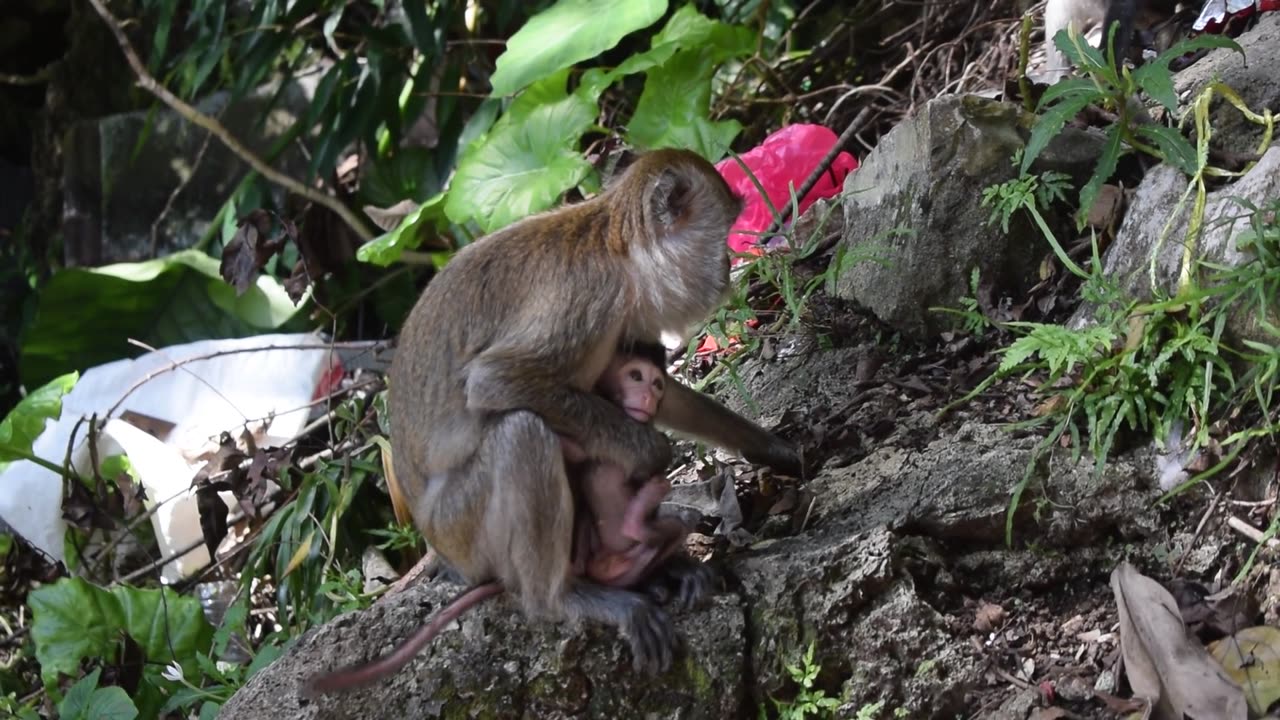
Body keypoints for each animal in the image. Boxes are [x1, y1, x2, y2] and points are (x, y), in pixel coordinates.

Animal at [345, 147, 798, 676]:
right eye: (722, 234)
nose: (728, 267)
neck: (617, 250)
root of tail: (437, 544)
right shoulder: (589, 299)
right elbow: (496, 380)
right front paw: (650, 452)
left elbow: (664, 394)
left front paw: (773, 448)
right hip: (466, 532)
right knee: (521, 431)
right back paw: (565, 598)